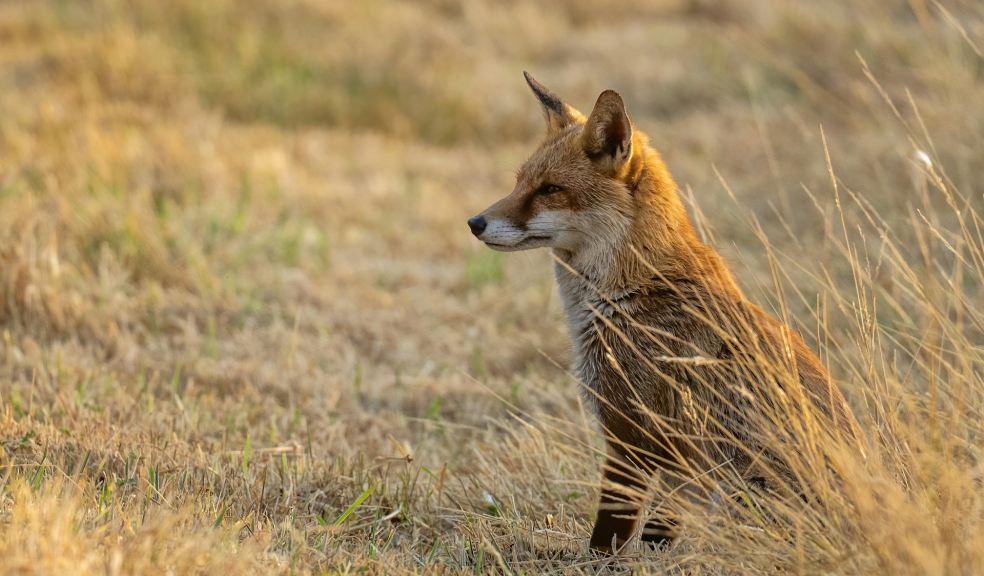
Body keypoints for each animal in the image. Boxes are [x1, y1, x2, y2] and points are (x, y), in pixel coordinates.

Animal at [467, 72, 864, 553]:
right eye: (520, 182)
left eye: (550, 190)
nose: (475, 222)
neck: (628, 292)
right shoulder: (674, 459)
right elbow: (660, 531)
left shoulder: (631, 433)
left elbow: (609, 534)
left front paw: (594, 562)